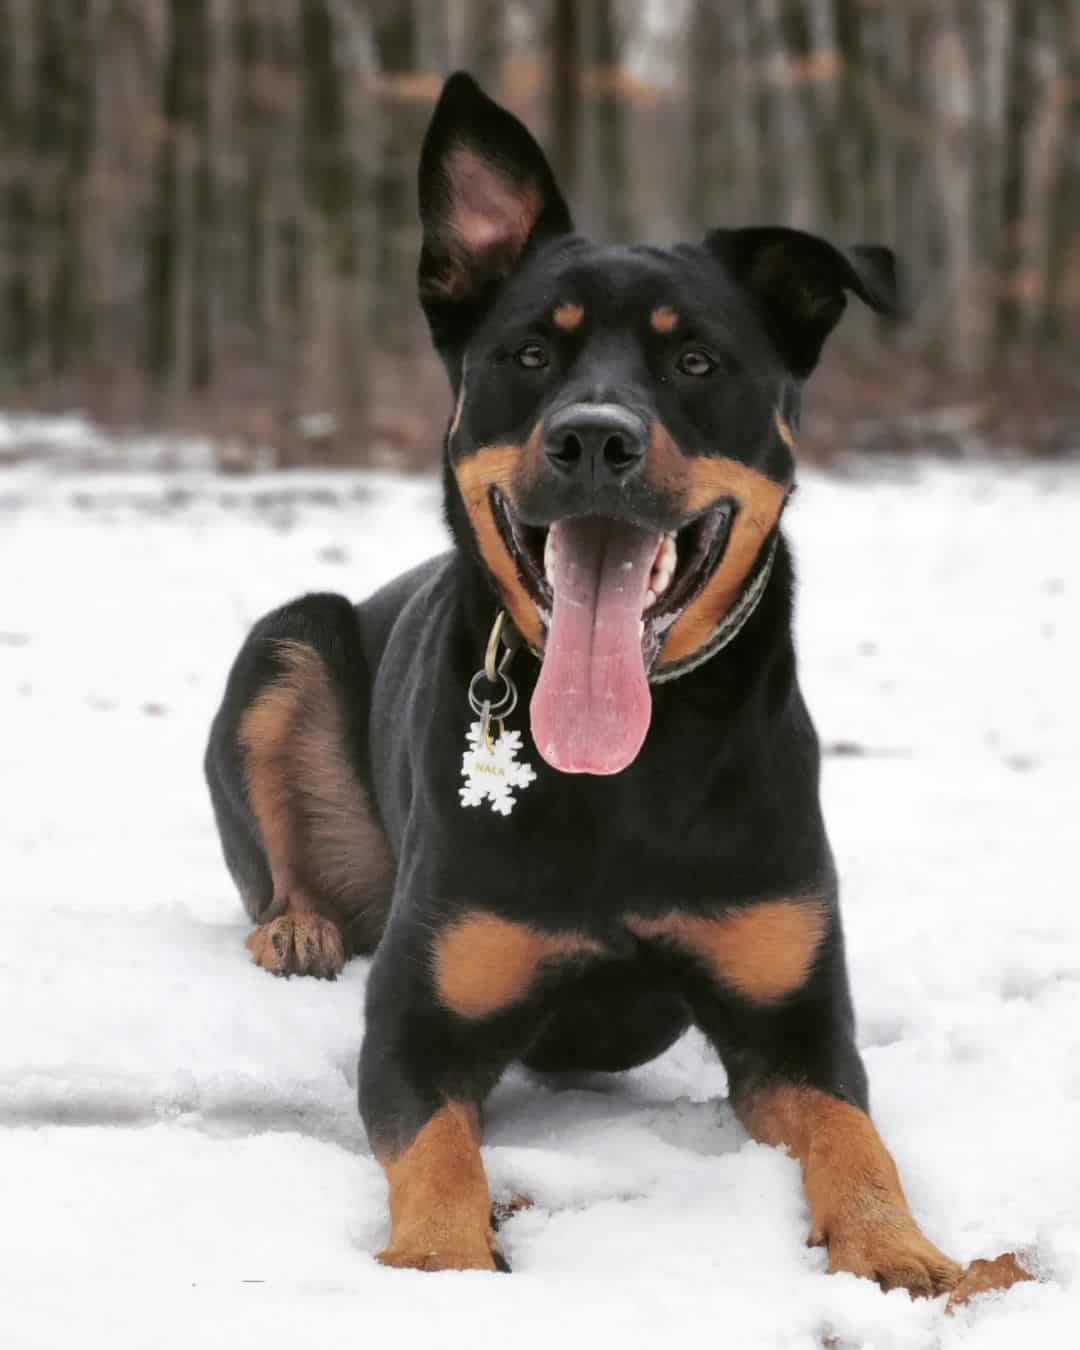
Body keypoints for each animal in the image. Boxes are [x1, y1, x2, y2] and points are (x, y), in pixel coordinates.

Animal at [206, 71, 966, 1285]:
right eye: (530, 355)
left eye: (695, 361)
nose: (594, 439)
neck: (632, 769)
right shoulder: (418, 1022)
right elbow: (437, 1156)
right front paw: (442, 1266)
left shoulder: (794, 1024)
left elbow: (858, 1136)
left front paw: (899, 1249)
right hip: (286, 640)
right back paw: (296, 925)